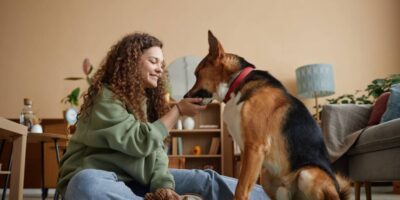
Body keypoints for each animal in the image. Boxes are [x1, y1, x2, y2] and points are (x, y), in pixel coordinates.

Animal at [184, 30, 350, 199]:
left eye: (197, 74)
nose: (184, 97)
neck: (237, 84)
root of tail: (337, 191)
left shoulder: (255, 147)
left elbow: (240, 189)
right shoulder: (246, 151)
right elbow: (240, 182)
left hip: (307, 174)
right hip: (266, 175)